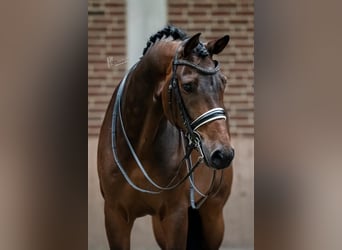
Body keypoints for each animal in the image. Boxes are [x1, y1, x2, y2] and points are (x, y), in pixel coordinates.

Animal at [97, 25, 234, 250]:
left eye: (223, 82)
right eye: (188, 86)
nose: (223, 154)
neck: (139, 146)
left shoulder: (175, 216)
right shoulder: (115, 216)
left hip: (213, 216)